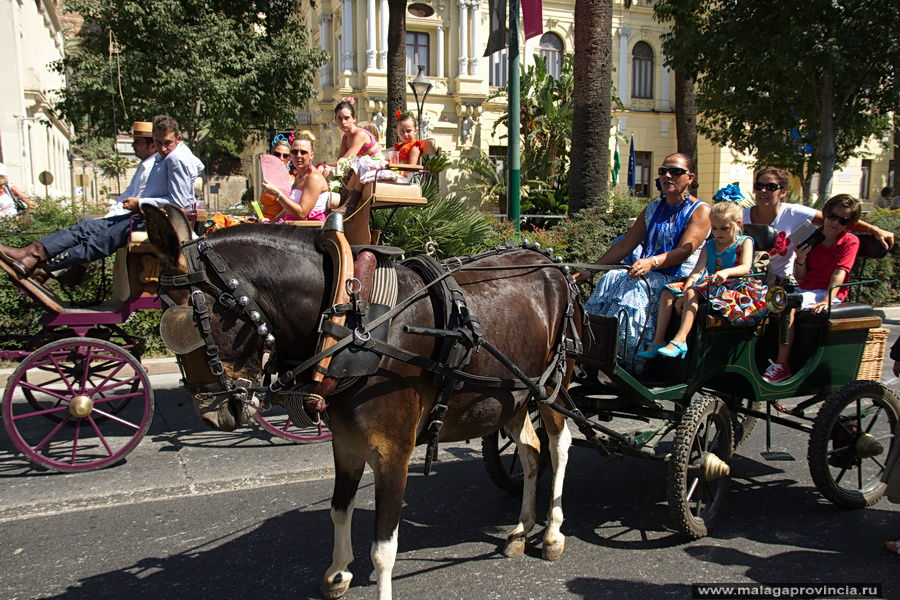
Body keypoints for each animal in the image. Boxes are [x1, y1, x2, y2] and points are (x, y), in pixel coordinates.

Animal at [142, 204, 576, 596]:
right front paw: (338, 574)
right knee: (531, 450)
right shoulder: (346, 442)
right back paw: (520, 529)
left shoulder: (393, 451)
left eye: (189, 319)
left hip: (552, 386)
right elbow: (339, 509)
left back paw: (553, 532)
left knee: (559, 445)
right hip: (511, 394)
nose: (213, 413)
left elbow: (383, 548)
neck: (352, 322)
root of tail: (548, 259)